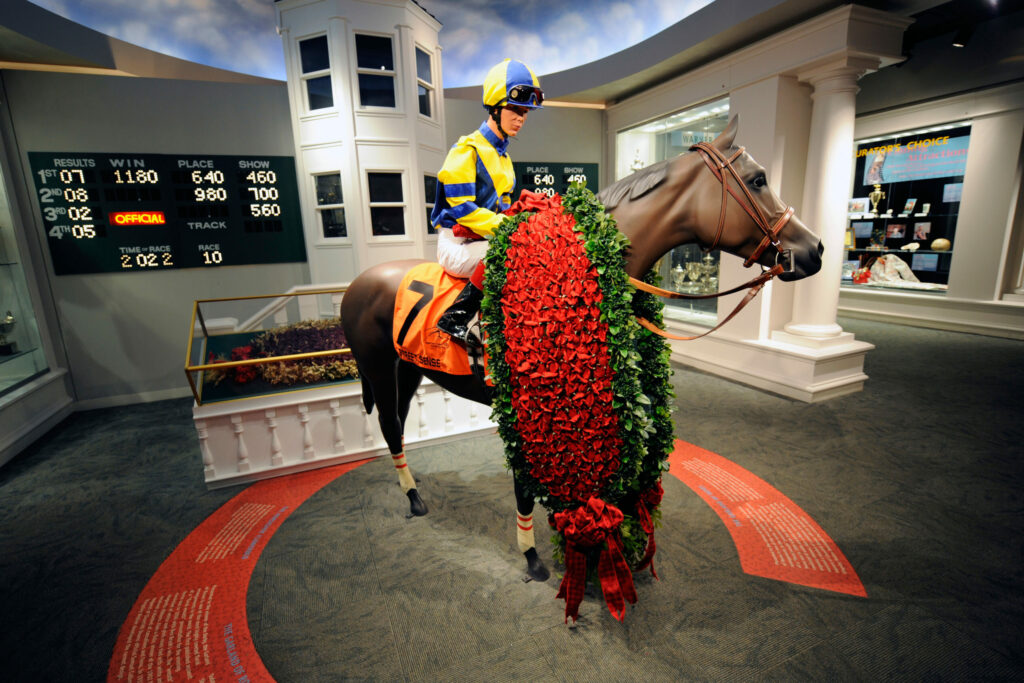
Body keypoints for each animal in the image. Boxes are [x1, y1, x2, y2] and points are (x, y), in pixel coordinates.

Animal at [342, 118, 823, 581]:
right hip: (380, 370)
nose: (814, 248)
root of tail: (357, 283)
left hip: (408, 370)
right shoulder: (523, 406)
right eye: (758, 179)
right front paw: (533, 556)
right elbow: (524, 483)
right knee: (390, 426)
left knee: (398, 424)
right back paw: (413, 499)